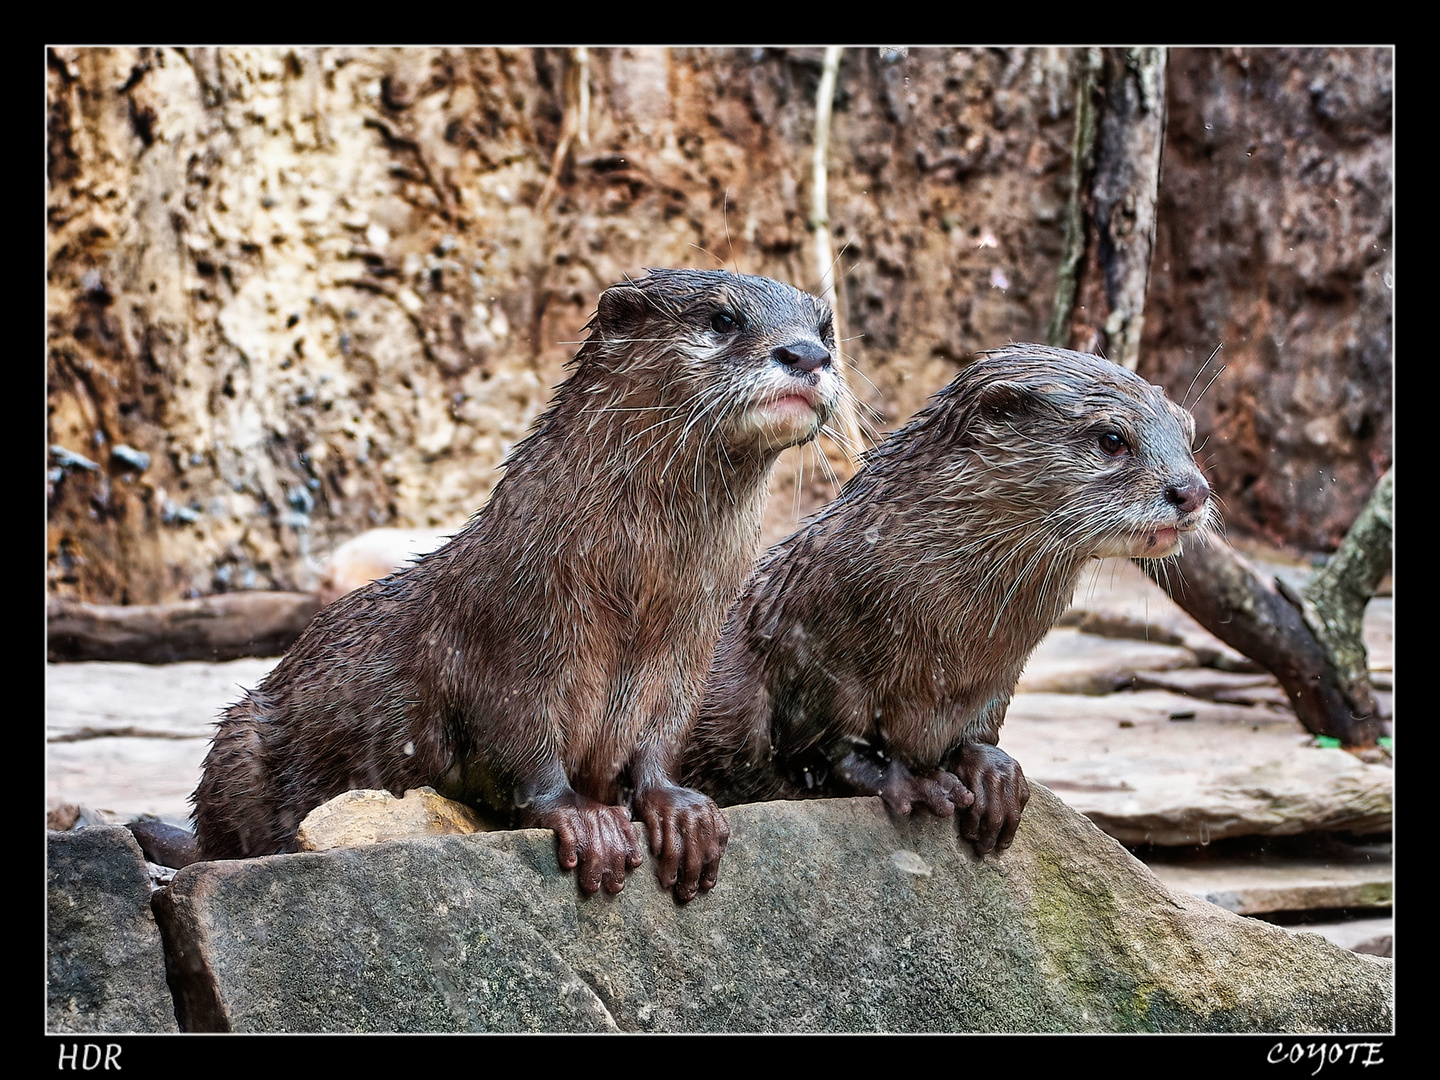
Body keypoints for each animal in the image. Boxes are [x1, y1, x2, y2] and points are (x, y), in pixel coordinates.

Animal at [190, 270, 840, 904]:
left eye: (825, 328)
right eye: (723, 319)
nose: (807, 354)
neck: (629, 589)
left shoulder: (689, 646)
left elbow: (663, 734)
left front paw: (680, 811)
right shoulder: (510, 639)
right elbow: (519, 742)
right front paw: (584, 819)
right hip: (238, 744)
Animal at [685, 344, 1215, 852]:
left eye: (1188, 435)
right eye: (1111, 439)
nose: (1191, 491)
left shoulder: (998, 673)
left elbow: (982, 728)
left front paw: (993, 774)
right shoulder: (808, 648)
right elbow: (824, 750)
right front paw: (910, 783)